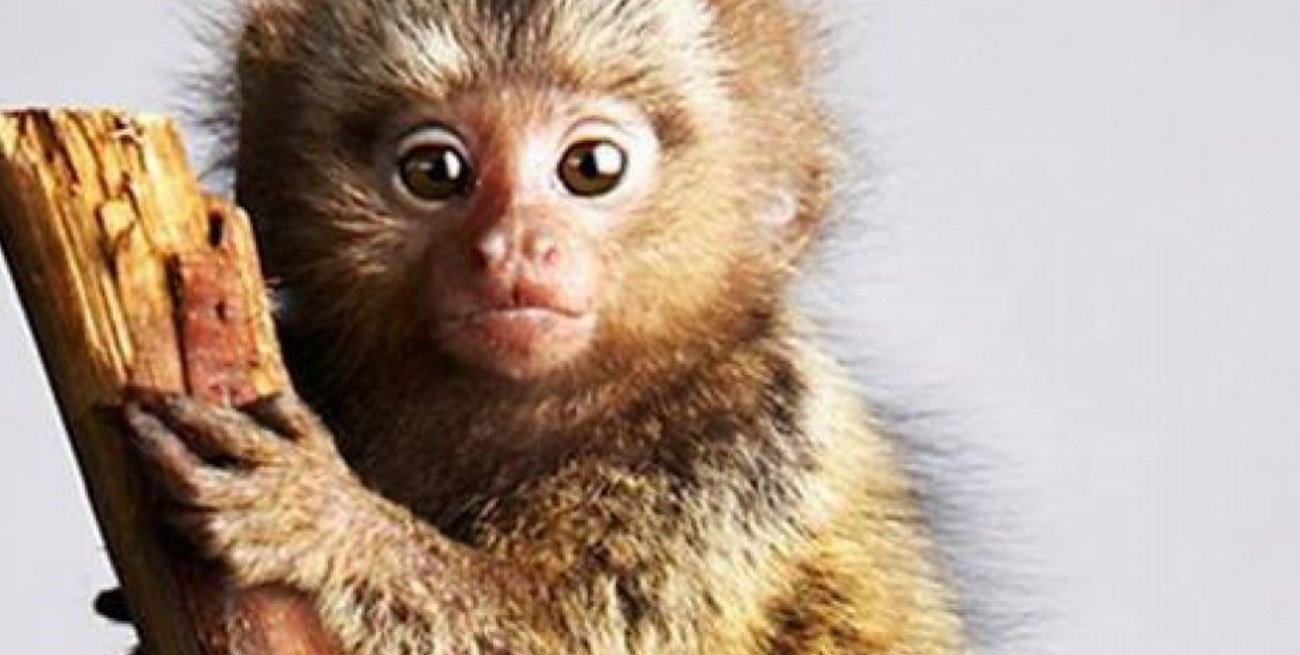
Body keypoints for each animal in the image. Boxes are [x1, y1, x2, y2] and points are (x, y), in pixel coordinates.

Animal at [109, 0, 972, 653]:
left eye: (591, 168)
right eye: (435, 171)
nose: (516, 245)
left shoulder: (740, 435)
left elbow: (551, 632)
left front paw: (331, 523)